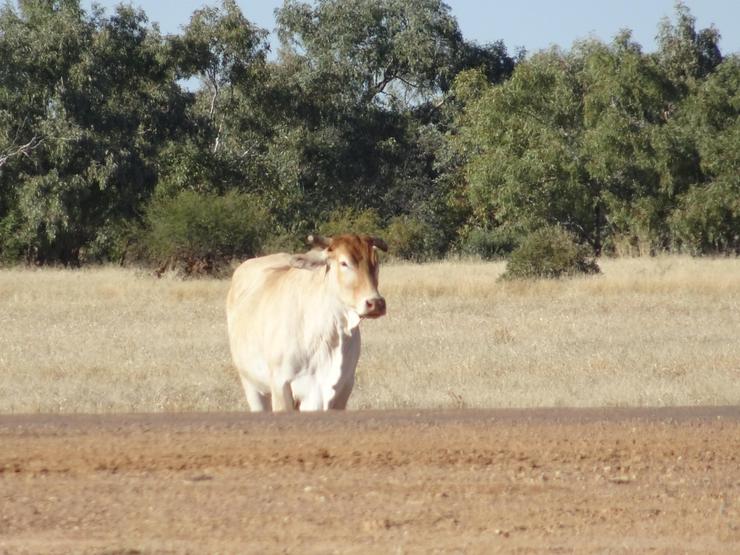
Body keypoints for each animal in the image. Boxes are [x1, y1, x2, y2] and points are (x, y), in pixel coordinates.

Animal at [225, 232, 388, 410]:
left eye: (376, 262)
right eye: (344, 263)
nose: (376, 303)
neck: (330, 336)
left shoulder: (343, 388)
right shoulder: (280, 386)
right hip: (251, 385)